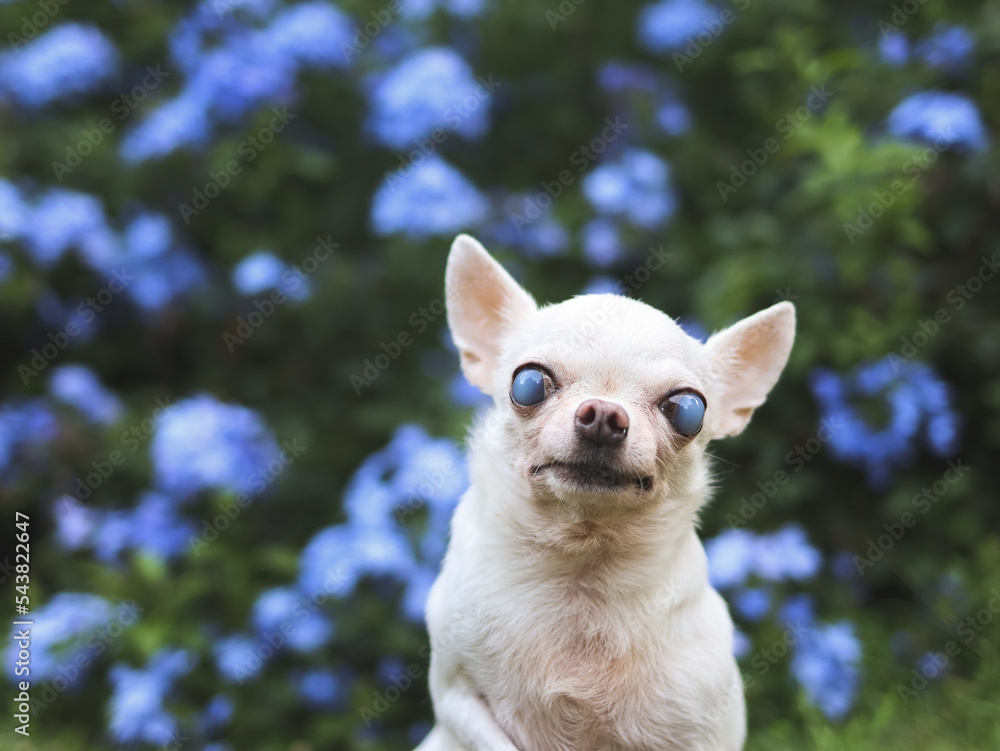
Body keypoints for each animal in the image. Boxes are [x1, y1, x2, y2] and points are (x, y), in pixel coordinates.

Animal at [410, 238, 792, 751]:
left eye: (687, 410)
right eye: (528, 383)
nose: (604, 415)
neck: (583, 571)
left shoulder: (704, 728)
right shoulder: (456, 693)